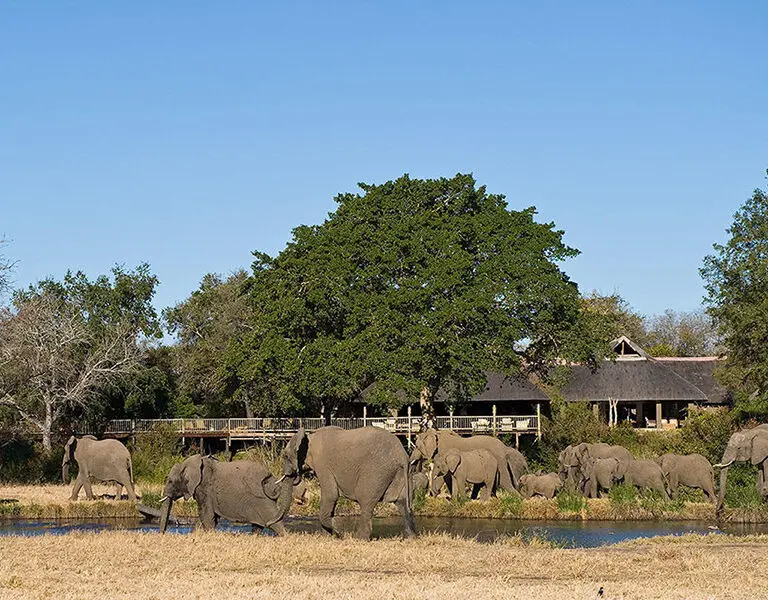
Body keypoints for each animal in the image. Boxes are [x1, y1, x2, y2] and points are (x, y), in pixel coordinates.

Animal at [158, 450, 297, 535]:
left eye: (170, 481)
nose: (162, 534)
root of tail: (271, 479)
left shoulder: (204, 488)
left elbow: (205, 514)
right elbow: (211, 517)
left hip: (262, 500)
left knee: (274, 522)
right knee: (258, 526)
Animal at [283, 426, 416, 540]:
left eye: (285, 456)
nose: (292, 476)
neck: (309, 437)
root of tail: (402, 454)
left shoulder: (323, 466)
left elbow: (331, 495)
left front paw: (338, 533)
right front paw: (326, 536)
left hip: (377, 472)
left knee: (365, 501)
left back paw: (359, 538)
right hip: (402, 473)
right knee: (403, 503)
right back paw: (410, 538)